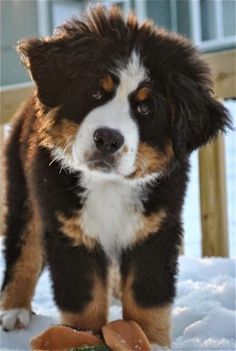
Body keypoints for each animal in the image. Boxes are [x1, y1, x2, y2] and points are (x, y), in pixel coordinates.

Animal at [0, 4, 230, 350]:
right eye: (96, 92)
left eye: (145, 108)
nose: (108, 139)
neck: (108, 185)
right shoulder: (69, 230)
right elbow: (83, 301)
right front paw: (80, 336)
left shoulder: (156, 227)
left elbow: (148, 295)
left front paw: (148, 339)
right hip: (23, 191)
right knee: (23, 248)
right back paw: (14, 310)